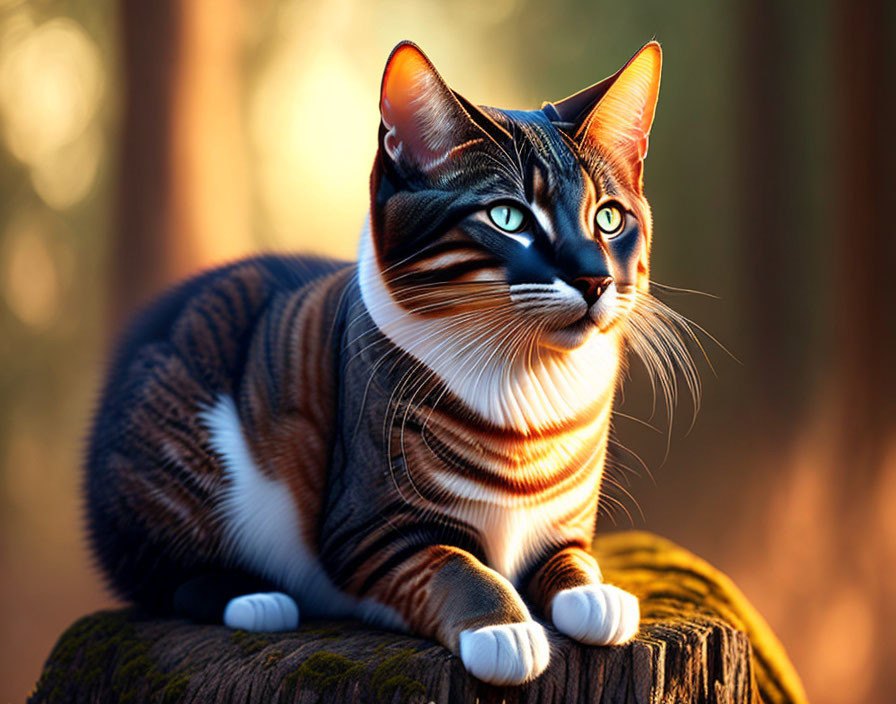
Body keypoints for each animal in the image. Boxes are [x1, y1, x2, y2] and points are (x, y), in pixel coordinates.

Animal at [87, 41, 676, 684]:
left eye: (609, 218)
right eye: (508, 218)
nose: (594, 278)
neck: (528, 387)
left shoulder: (563, 531)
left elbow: (571, 561)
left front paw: (595, 595)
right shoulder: (367, 531)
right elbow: (454, 566)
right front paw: (504, 628)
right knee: (163, 577)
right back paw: (256, 598)